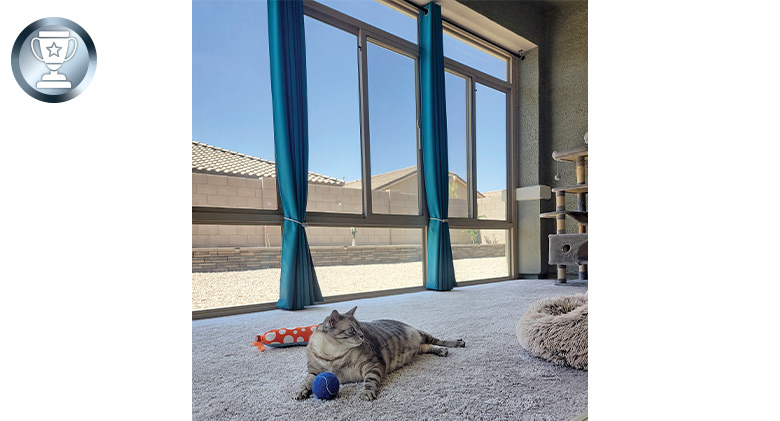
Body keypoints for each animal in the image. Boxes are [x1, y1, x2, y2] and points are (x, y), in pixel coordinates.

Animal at [292, 306, 464, 400]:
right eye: (352, 329)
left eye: (360, 327)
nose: (362, 335)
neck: (333, 355)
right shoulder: (313, 372)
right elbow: (306, 382)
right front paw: (301, 391)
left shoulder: (372, 364)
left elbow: (370, 380)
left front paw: (367, 393)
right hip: (420, 346)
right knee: (427, 347)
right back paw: (440, 351)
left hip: (423, 334)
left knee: (438, 341)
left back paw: (453, 344)